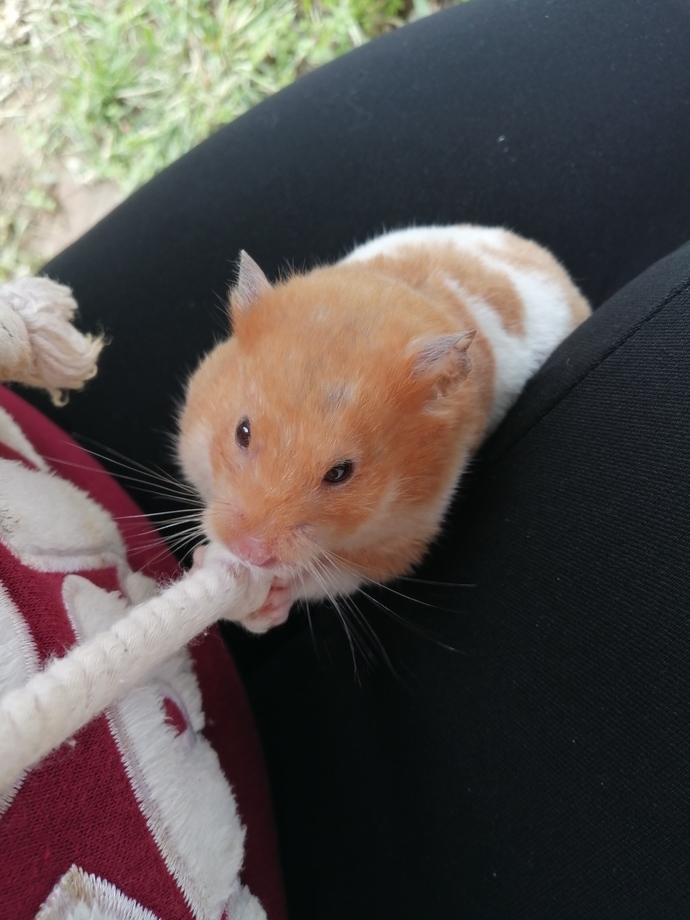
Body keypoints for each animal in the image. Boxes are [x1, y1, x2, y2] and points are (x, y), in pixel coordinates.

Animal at [178, 225, 590, 632]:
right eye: (242, 432)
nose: (250, 551)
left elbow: (335, 576)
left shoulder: (405, 534)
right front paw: (203, 561)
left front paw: (269, 602)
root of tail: (552, 265)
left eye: (341, 473)